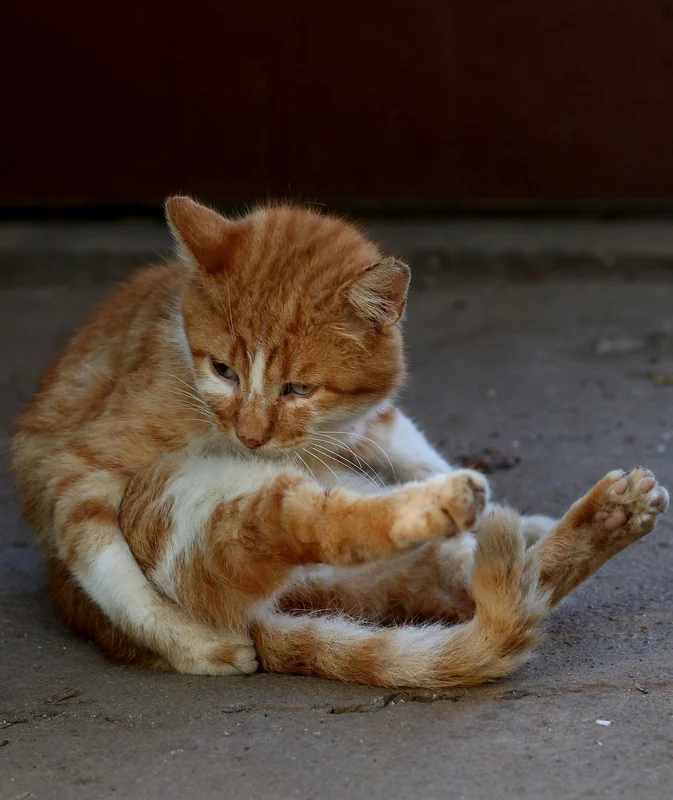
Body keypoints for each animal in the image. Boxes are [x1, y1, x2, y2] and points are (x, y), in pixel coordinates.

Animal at [10, 198, 668, 688]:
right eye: (223, 370)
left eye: (299, 388)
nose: (249, 437)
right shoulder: (78, 464)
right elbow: (105, 562)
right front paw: (189, 644)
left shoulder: (374, 420)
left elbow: (413, 446)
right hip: (199, 510)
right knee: (304, 521)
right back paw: (443, 505)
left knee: (498, 577)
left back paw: (600, 518)